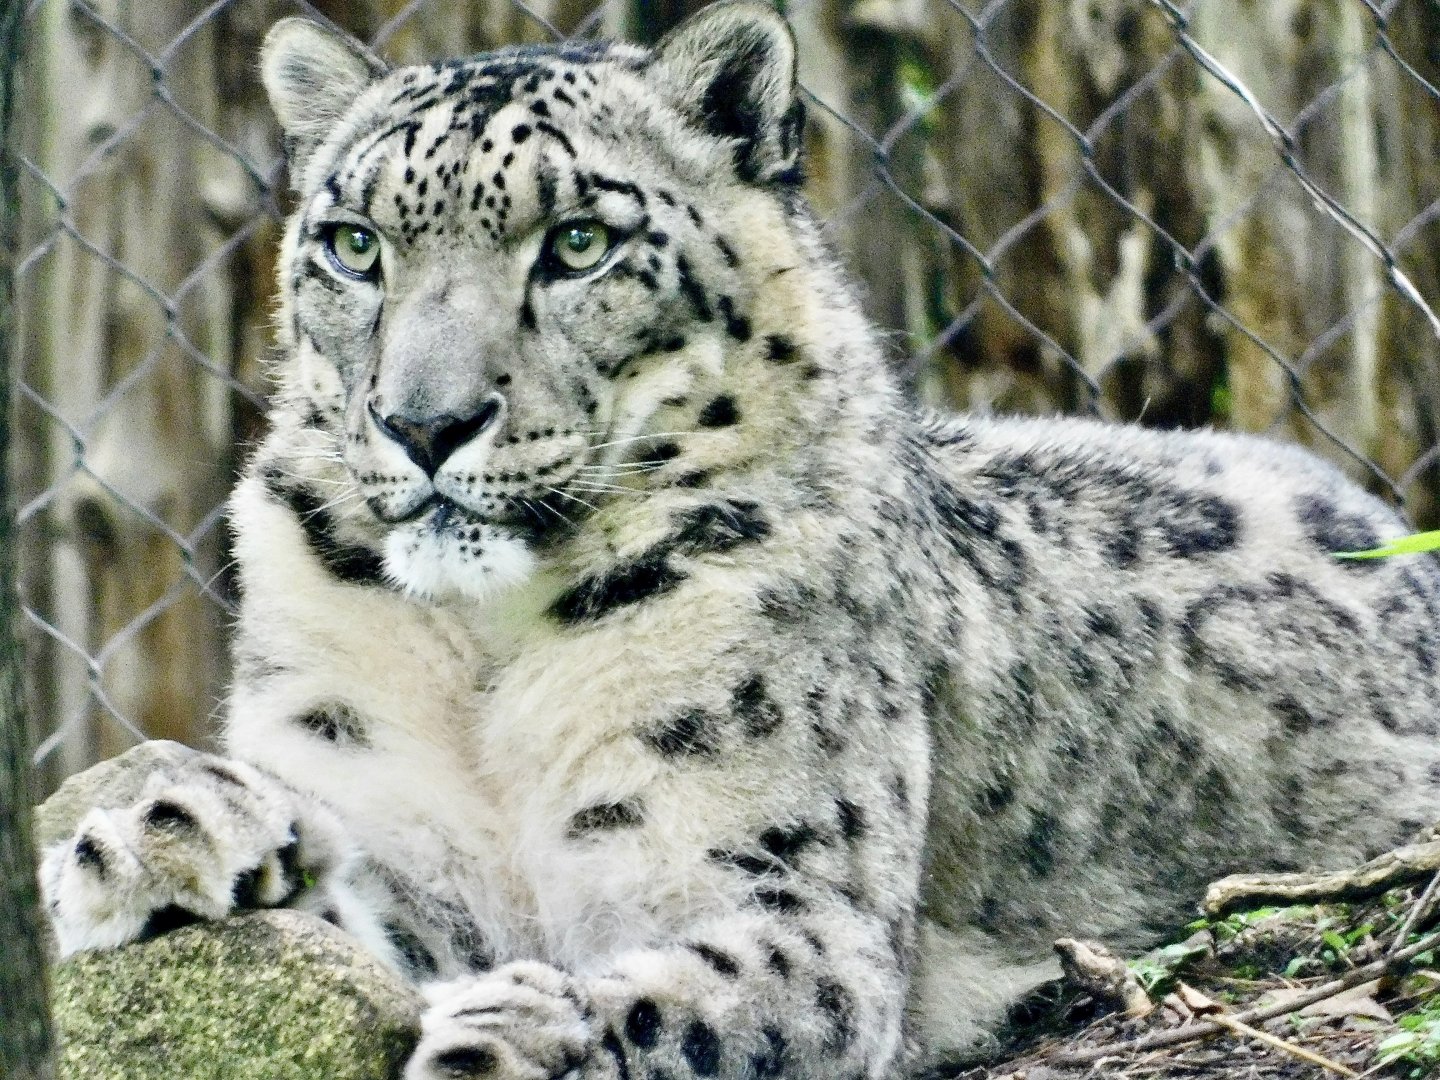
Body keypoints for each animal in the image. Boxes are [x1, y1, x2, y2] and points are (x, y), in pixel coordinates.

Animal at [40, 3, 1440, 1078]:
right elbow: (355, 915)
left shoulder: (786, 898)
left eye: (578, 242)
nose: (424, 422)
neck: (485, 656)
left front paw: (511, 1031)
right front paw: (163, 831)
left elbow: (688, 995)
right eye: (354, 245)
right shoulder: (398, 812)